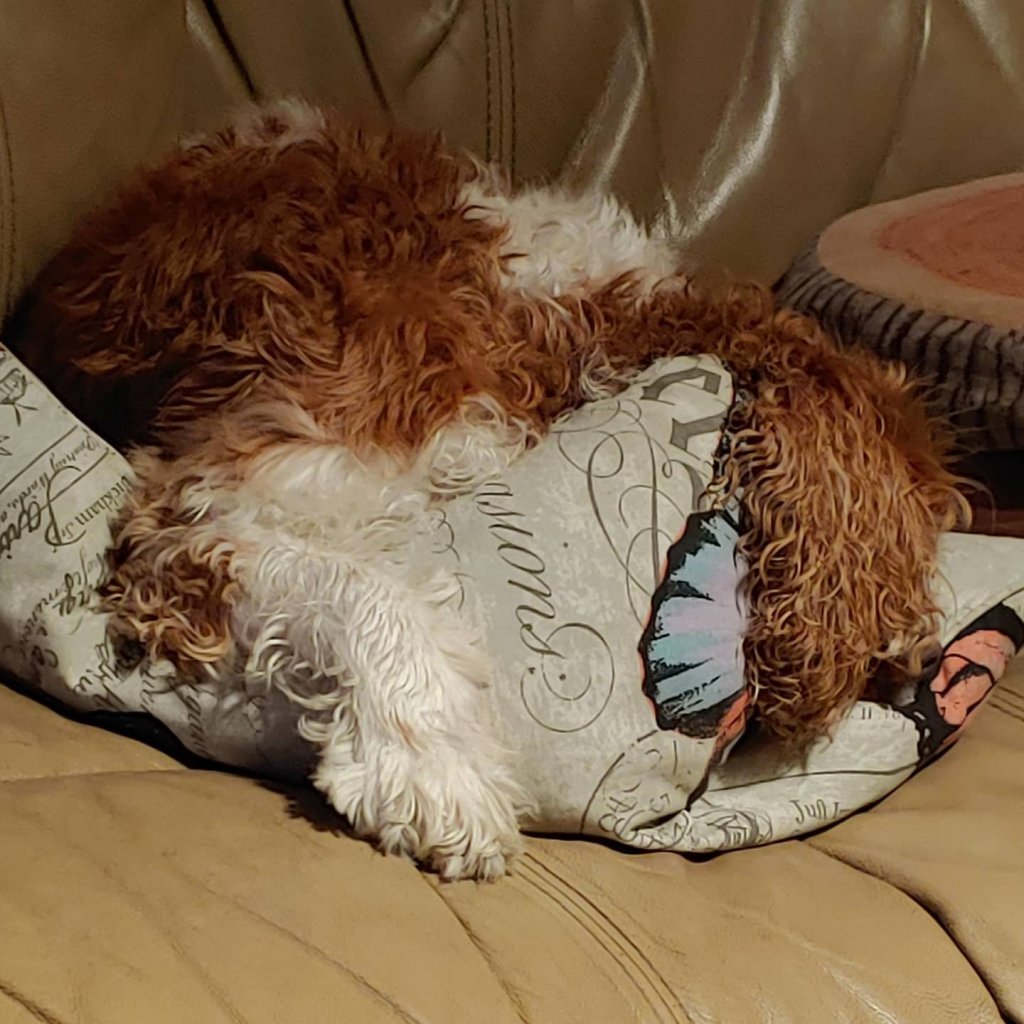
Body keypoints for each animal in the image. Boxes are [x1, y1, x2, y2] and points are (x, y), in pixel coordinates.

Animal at [7, 99, 968, 878]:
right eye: (919, 544)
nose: (927, 665)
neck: (572, 316)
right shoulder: (225, 496)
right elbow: (368, 590)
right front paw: (436, 767)